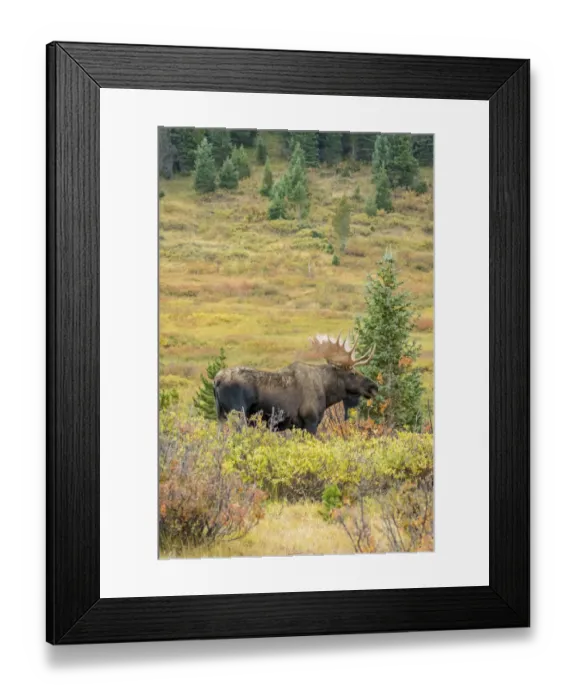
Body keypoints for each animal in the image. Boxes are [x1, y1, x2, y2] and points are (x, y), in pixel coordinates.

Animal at [213, 334, 378, 435]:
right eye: (353, 373)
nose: (374, 387)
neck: (326, 392)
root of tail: (216, 380)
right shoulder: (310, 421)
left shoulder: (297, 426)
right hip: (238, 414)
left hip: (221, 415)